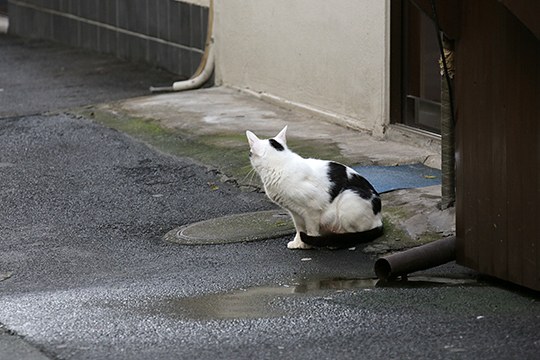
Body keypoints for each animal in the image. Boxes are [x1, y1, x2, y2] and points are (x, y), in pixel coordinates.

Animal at [247, 125, 382, 249]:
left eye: (250, 154)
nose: (249, 155)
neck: (281, 165)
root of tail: (379, 219)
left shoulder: (312, 209)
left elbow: (311, 229)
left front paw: (309, 243)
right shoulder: (295, 211)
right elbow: (299, 228)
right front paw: (298, 243)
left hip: (349, 198)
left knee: (354, 234)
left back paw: (335, 238)